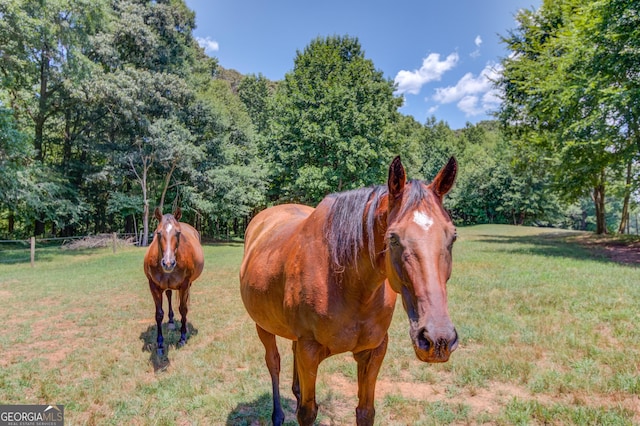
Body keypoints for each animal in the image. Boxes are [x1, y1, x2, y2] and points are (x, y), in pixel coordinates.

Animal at [144, 207, 204, 356]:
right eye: (158, 232)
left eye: (178, 232)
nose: (168, 263)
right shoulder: (153, 286)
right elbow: (159, 314)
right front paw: (160, 344)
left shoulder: (184, 285)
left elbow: (183, 309)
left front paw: (182, 338)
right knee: (169, 294)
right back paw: (171, 321)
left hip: (188, 285)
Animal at [241, 157, 460, 426]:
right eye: (393, 238)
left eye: (453, 237)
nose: (438, 340)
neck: (349, 285)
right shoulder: (309, 350)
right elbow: (307, 412)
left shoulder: (373, 351)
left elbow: (365, 412)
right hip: (263, 326)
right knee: (273, 363)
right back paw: (278, 415)